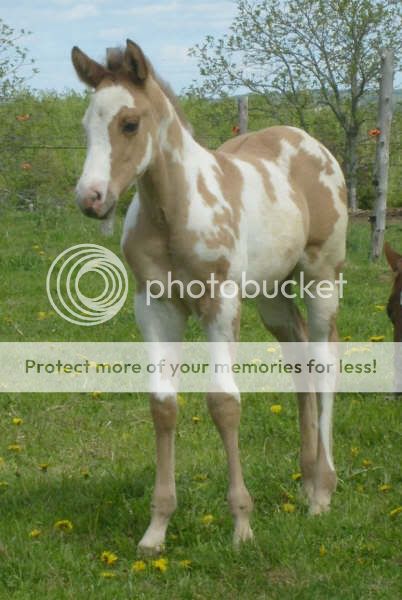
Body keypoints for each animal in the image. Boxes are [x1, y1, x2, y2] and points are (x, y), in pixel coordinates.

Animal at [70, 38, 348, 552]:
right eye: (86, 125)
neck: (173, 210)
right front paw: (156, 529)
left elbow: (223, 403)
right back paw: (304, 482)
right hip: (271, 292)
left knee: (324, 362)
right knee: (298, 358)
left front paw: (241, 524)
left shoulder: (220, 303)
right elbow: (162, 405)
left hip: (322, 276)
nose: (91, 198)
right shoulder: (155, 306)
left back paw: (322, 491)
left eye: (129, 123)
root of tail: (311, 143)